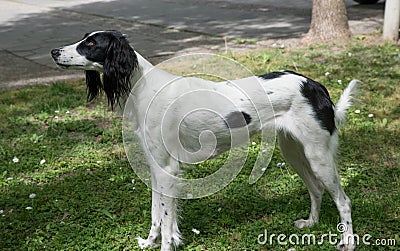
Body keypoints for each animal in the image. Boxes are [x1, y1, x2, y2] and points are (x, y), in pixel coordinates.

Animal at [50, 30, 360, 251]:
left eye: (91, 43)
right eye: (84, 38)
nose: (54, 51)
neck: (144, 88)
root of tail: (315, 85)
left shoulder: (168, 169)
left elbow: (165, 218)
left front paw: (165, 245)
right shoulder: (157, 168)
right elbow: (157, 215)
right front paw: (150, 242)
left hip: (318, 156)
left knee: (343, 200)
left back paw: (347, 242)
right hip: (295, 152)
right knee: (317, 189)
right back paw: (311, 223)